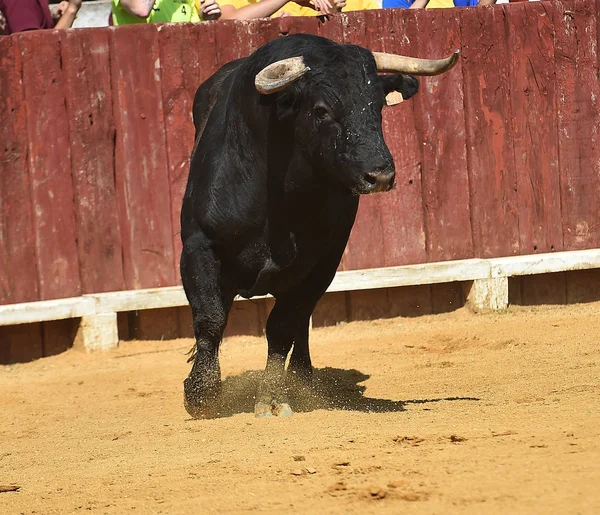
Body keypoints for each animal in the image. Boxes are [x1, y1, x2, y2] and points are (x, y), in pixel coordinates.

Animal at [180, 33, 458, 420]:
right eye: (321, 110)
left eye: (378, 107)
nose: (380, 174)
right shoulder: (198, 246)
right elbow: (210, 317)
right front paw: (201, 394)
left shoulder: (319, 261)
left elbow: (282, 327)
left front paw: (272, 397)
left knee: (301, 321)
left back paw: (304, 378)